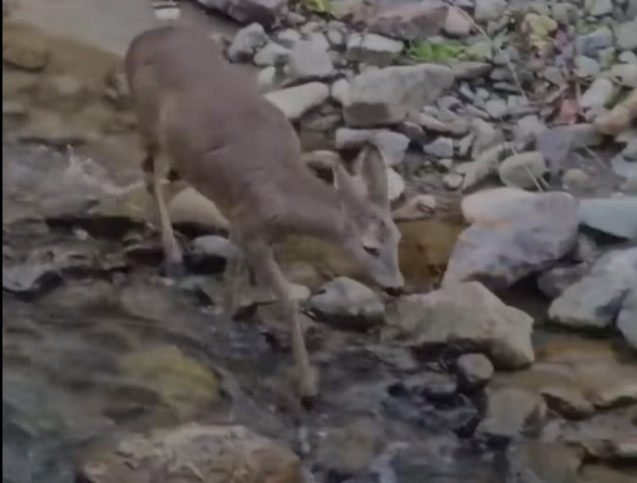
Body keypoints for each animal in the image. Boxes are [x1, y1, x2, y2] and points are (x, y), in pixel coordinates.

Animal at [123, 24, 402, 406]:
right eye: (369, 247)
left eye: (398, 240)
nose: (396, 288)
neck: (285, 194)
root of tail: (138, 41)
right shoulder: (253, 228)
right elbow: (287, 299)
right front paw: (307, 388)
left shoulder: (241, 224)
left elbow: (234, 277)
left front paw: (223, 325)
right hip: (148, 121)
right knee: (149, 175)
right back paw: (173, 254)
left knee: (159, 180)